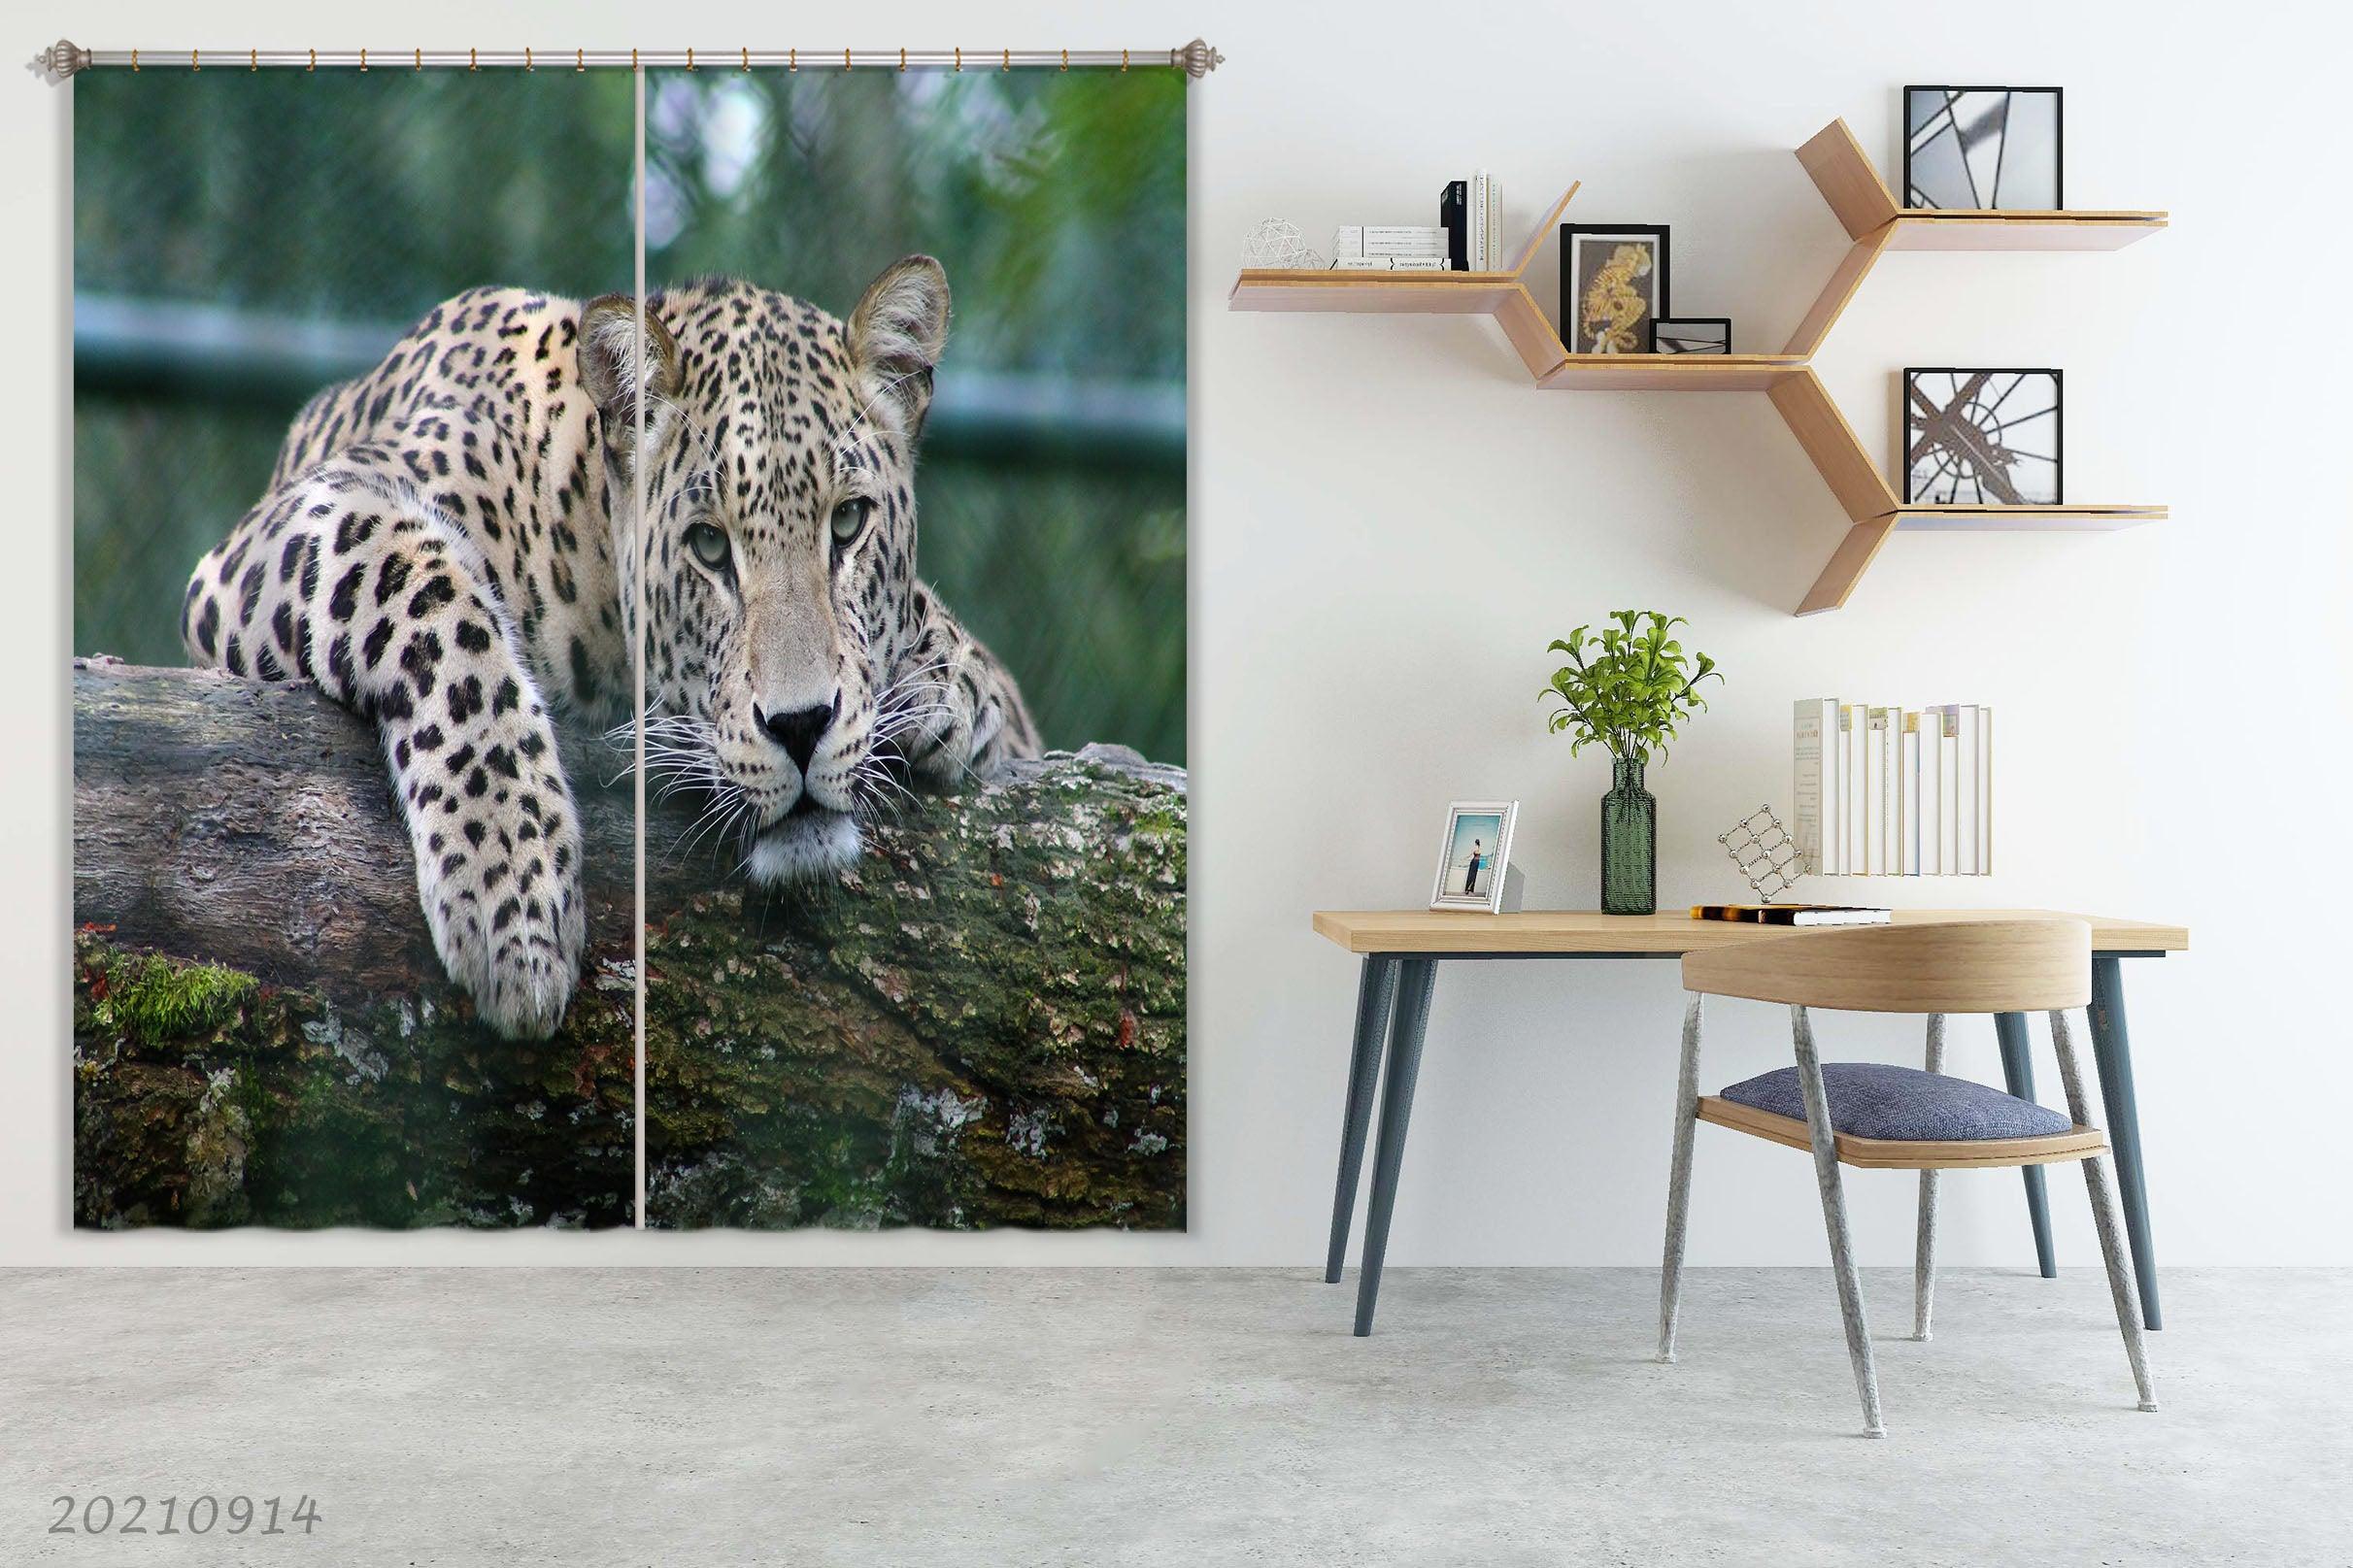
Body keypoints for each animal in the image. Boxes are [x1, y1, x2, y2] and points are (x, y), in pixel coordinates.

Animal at [179, 258, 1038, 1040]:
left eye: (850, 522)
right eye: (708, 545)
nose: (800, 727)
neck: (581, 523)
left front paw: (949, 683)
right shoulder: (295, 522)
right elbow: (431, 599)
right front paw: (511, 886)